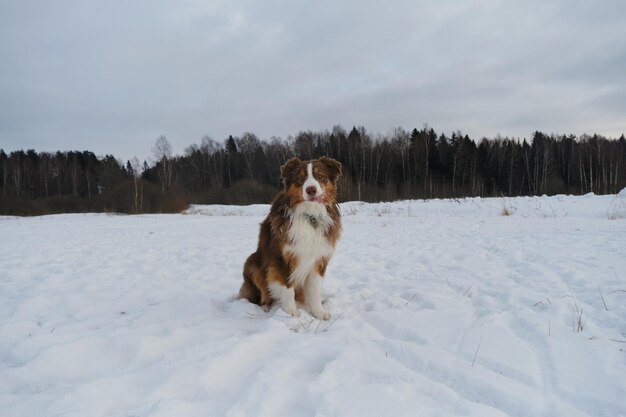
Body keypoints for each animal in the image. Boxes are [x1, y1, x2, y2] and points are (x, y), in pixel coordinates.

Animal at [236, 156, 342, 318]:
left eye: (320, 176)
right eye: (300, 178)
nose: (311, 190)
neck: (309, 215)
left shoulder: (319, 259)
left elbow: (315, 289)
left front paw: (318, 312)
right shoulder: (282, 258)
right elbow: (287, 287)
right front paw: (291, 312)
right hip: (252, 264)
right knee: (261, 294)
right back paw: (265, 307)